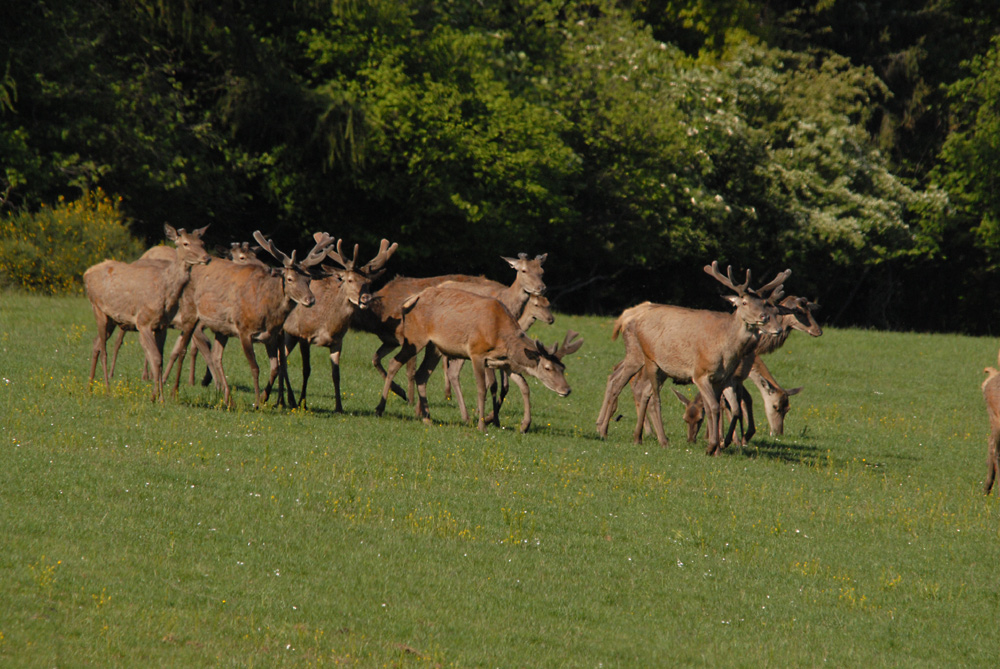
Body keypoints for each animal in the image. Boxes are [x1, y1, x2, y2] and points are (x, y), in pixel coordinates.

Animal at [82, 224, 213, 402]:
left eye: (202, 242)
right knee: (103, 350)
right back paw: (107, 389)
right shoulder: (143, 322)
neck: (166, 294)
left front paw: (158, 395)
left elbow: (161, 358)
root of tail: (86, 274)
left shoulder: (162, 326)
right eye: (185, 243)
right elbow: (156, 358)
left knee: (95, 344)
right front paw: (159, 398)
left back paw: (89, 387)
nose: (207, 258)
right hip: (98, 309)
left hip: (112, 319)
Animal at [162, 230, 334, 408]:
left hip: (222, 328)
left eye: (308, 280)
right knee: (183, 349)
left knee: (216, 356)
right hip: (190, 312)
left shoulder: (271, 336)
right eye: (290, 279)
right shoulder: (244, 330)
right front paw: (257, 402)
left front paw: (265, 397)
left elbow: (275, 367)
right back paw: (175, 393)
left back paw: (228, 399)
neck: (268, 312)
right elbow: (255, 367)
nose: (310, 300)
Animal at [280, 235, 400, 412]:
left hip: (290, 335)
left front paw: (339, 407)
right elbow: (306, 370)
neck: (327, 323)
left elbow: (336, 374)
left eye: (368, 282)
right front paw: (303, 403)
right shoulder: (304, 334)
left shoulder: (337, 341)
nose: (366, 299)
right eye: (349, 280)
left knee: (282, 359)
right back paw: (288, 400)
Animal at [374, 284, 580, 434]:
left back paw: (427, 418)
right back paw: (380, 408)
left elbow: (524, 386)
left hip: (435, 347)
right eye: (547, 367)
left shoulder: (506, 363)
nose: (567, 389)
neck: (502, 340)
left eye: (563, 367)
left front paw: (524, 425)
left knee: (421, 374)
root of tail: (410, 300)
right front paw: (482, 425)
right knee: (394, 363)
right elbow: (482, 388)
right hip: (415, 338)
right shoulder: (476, 353)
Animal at [596, 260, 792, 454]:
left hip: (663, 368)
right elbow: (714, 407)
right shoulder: (700, 373)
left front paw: (718, 447)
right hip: (647, 358)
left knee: (642, 391)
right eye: (744, 302)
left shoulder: (722, 378)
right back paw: (647, 438)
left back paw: (637, 437)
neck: (726, 350)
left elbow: (720, 408)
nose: (766, 319)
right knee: (645, 393)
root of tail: (628, 315)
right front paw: (713, 446)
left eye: (764, 303)